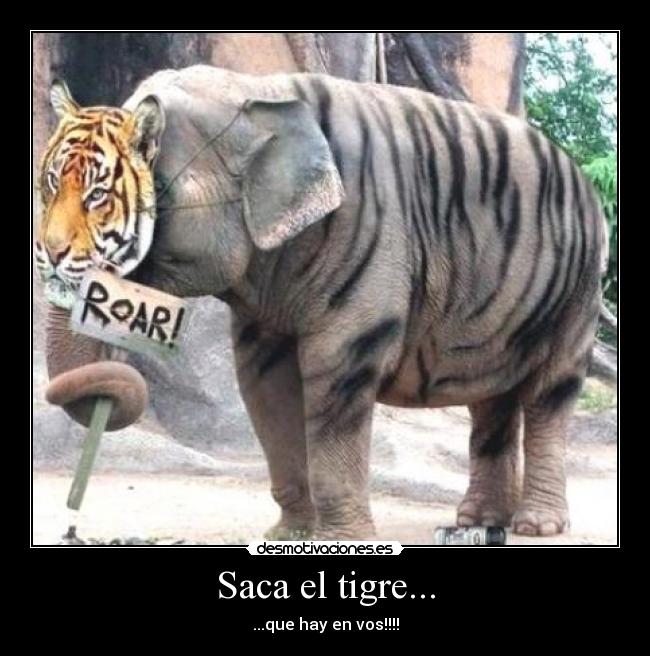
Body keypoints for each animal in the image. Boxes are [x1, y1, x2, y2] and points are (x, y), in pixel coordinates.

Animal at [36, 66, 609, 539]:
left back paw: (536, 526)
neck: (259, 91)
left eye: (141, 187)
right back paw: (476, 523)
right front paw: (287, 536)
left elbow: (335, 373)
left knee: (549, 393)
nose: (72, 521)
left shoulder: (371, 243)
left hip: (580, 289)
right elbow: (264, 384)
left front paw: (343, 540)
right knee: (490, 398)